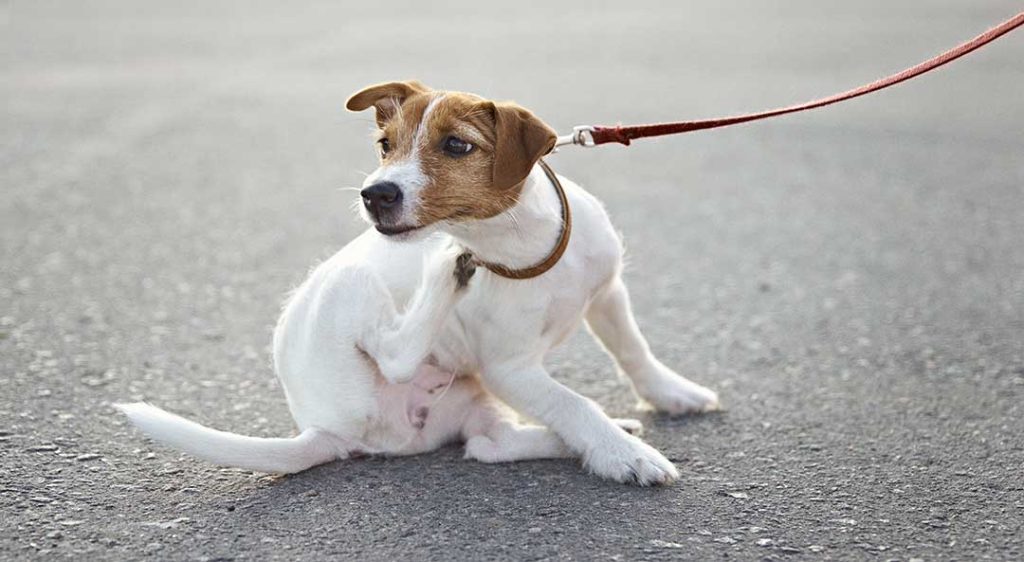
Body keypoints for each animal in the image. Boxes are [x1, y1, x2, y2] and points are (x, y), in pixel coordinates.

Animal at [116, 80, 716, 485]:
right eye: (385, 144)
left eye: (456, 145)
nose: (374, 194)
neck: (522, 250)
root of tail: (321, 428)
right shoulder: (511, 369)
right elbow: (574, 403)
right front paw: (623, 456)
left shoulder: (607, 294)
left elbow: (633, 352)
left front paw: (671, 396)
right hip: (351, 284)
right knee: (398, 353)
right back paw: (445, 271)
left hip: (471, 399)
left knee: (488, 445)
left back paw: (588, 436)